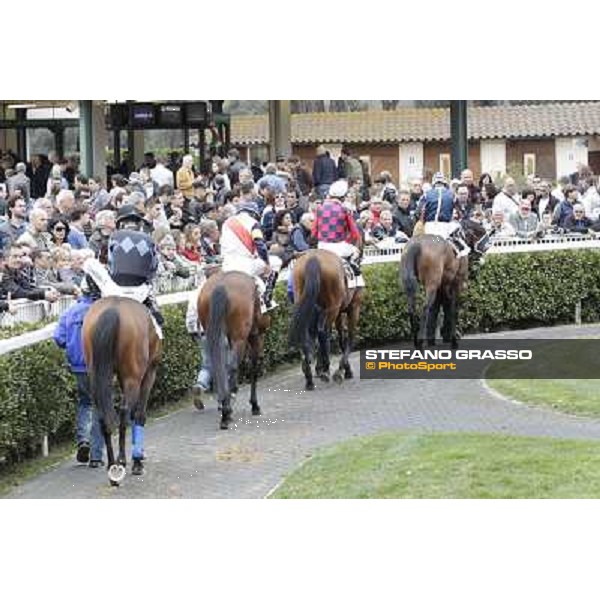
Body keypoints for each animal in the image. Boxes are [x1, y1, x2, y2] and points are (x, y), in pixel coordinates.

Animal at [82, 298, 162, 486]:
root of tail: (113, 309)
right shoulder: (149, 372)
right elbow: (139, 415)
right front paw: (138, 461)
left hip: (96, 376)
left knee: (102, 415)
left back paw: (112, 466)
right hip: (133, 376)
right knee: (125, 412)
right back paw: (121, 462)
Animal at [199, 270, 270, 428]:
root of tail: (221, 285)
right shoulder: (255, 336)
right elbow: (252, 368)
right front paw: (254, 405)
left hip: (212, 333)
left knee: (218, 365)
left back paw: (223, 404)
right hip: (240, 337)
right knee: (232, 366)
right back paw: (226, 412)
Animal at [288, 247, 364, 390]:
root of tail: (313, 258)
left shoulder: (335, 313)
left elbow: (340, 338)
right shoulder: (353, 307)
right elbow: (349, 337)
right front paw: (342, 370)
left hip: (303, 301)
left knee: (307, 332)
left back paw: (309, 376)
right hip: (332, 307)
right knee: (323, 332)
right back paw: (326, 371)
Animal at [398, 219, 492, 350]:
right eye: (486, 245)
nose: (481, 260)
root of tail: (416, 244)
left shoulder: (443, 286)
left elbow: (442, 308)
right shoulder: (456, 283)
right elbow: (453, 310)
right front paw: (454, 340)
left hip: (409, 284)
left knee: (412, 309)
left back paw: (417, 342)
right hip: (431, 284)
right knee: (425, 308)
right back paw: (421, 343)